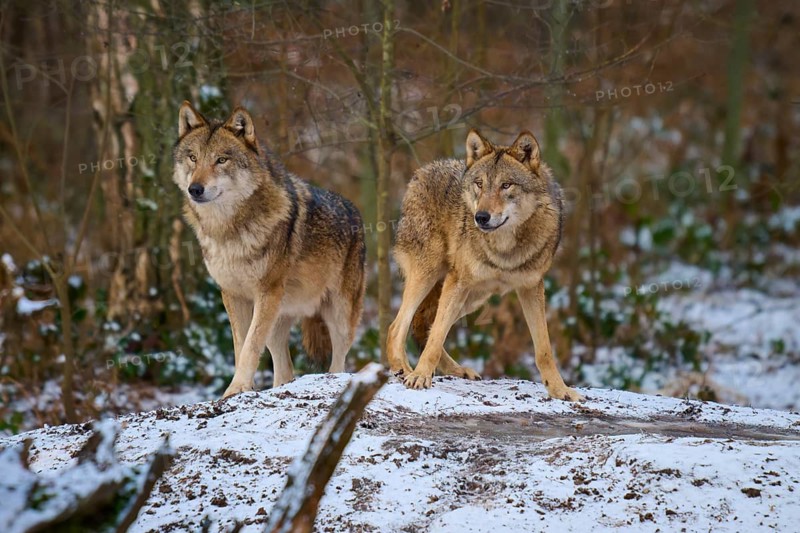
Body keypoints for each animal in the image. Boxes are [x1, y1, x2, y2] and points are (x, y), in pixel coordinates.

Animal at [173, 102, 366, 398]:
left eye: (221, 160)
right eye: (193, 157)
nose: (195, 189)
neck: (229, 231)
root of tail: (354, 208)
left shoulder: (265, 293)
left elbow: (251, 346)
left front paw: (236, 388)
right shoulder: (232, 295)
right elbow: (240, 346)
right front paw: (241, 389)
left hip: (339, 314)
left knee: (340, 359)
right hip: (277, 320)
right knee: (285, 369)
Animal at [386, 129, 583, 401]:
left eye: (506, 185)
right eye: (480, 184)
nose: (481, 217)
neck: (504, 249)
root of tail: (421, 171)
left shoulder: (531, 287)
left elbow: (544, 349)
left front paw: (560, 389)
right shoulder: (458, 282)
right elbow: (436, 337)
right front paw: (420, 376)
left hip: (473, 297)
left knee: (425, 325)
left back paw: (455, 370)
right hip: (430, 275)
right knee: (397, 328)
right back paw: (404, 370)